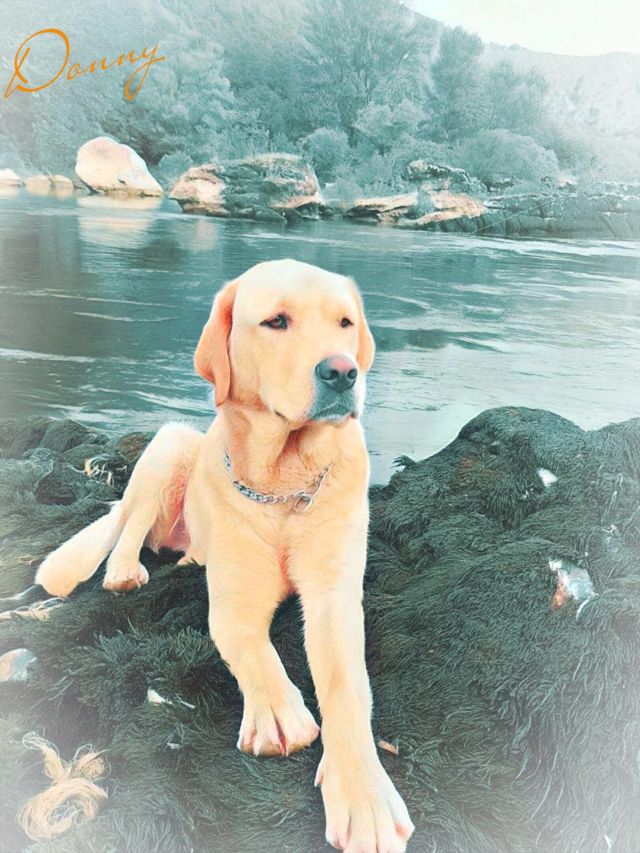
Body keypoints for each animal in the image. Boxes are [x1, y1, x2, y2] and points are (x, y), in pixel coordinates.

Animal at [36, 259, 415, 852]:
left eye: (346, 323)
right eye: (276, 321)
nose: (343, 371)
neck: (286, 485)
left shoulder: (334, 596)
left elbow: (347, 687)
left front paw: (363, 796)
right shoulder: (233, 601)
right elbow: (253, 650)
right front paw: (278, 713)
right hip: (170, 442)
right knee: (127, 520)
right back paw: (124, 569)